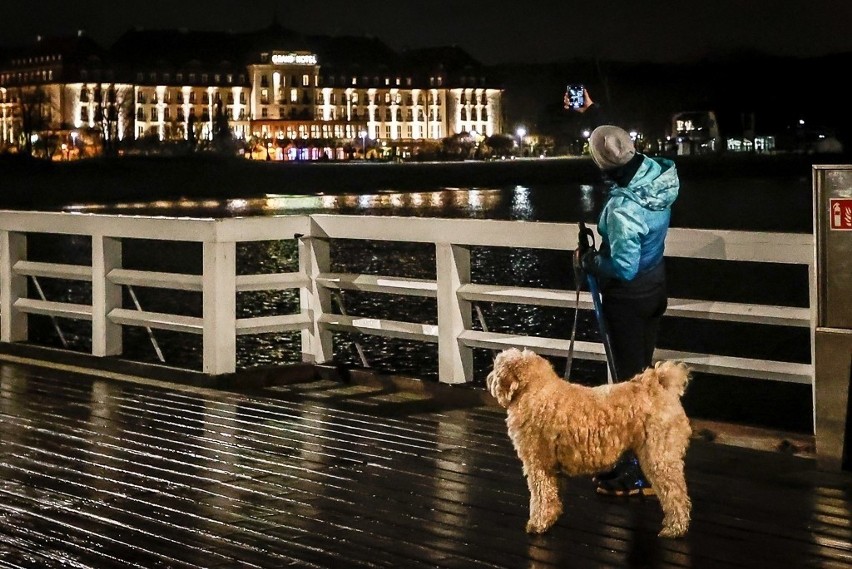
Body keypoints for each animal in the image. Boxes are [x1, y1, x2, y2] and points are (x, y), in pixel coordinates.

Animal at [486, 346, 692, 536]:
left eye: (497, 367)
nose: (488, 379)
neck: (534, 390)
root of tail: (659, 384)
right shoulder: (550, 468)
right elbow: (552, 496)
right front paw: (550, 518)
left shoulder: (538, 464)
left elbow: (540, 497)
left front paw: (537, 524)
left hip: (659, 457)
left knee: (676, 494)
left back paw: (675, 527)